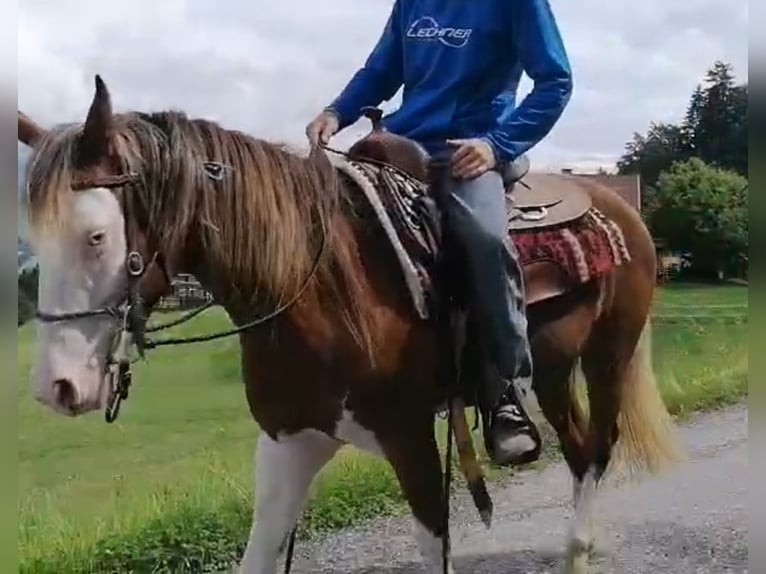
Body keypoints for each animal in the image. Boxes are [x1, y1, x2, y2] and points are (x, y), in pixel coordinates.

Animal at [18, 75, 684, 574]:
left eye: (96, 237)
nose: (56, 388)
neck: (312, 286)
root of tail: (619, 207)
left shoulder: (412, 440)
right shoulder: (289, 440)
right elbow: (259, 554)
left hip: (607, 357)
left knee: (598, 448)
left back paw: (578, 546)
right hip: (550, 369)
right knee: (576, 447)